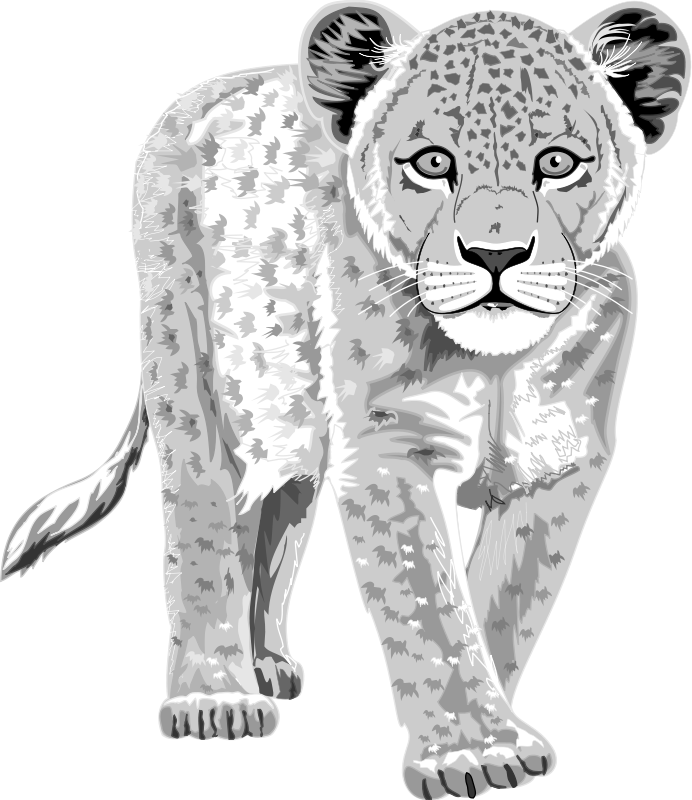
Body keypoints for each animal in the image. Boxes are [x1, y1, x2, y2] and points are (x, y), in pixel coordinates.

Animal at [2, 2, 688, 797]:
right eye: (432, 164)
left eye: (557, 163)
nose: (495, 255)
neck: (495, 364)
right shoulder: (387, 449)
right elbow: (427, 603)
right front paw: (473, 752)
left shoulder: (559, 461)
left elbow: (508, 598)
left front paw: (495, 725)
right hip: (193, 371)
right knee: (204, 520)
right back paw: (217, 696)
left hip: (291, 427)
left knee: (274, 526)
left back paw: (268, 664)